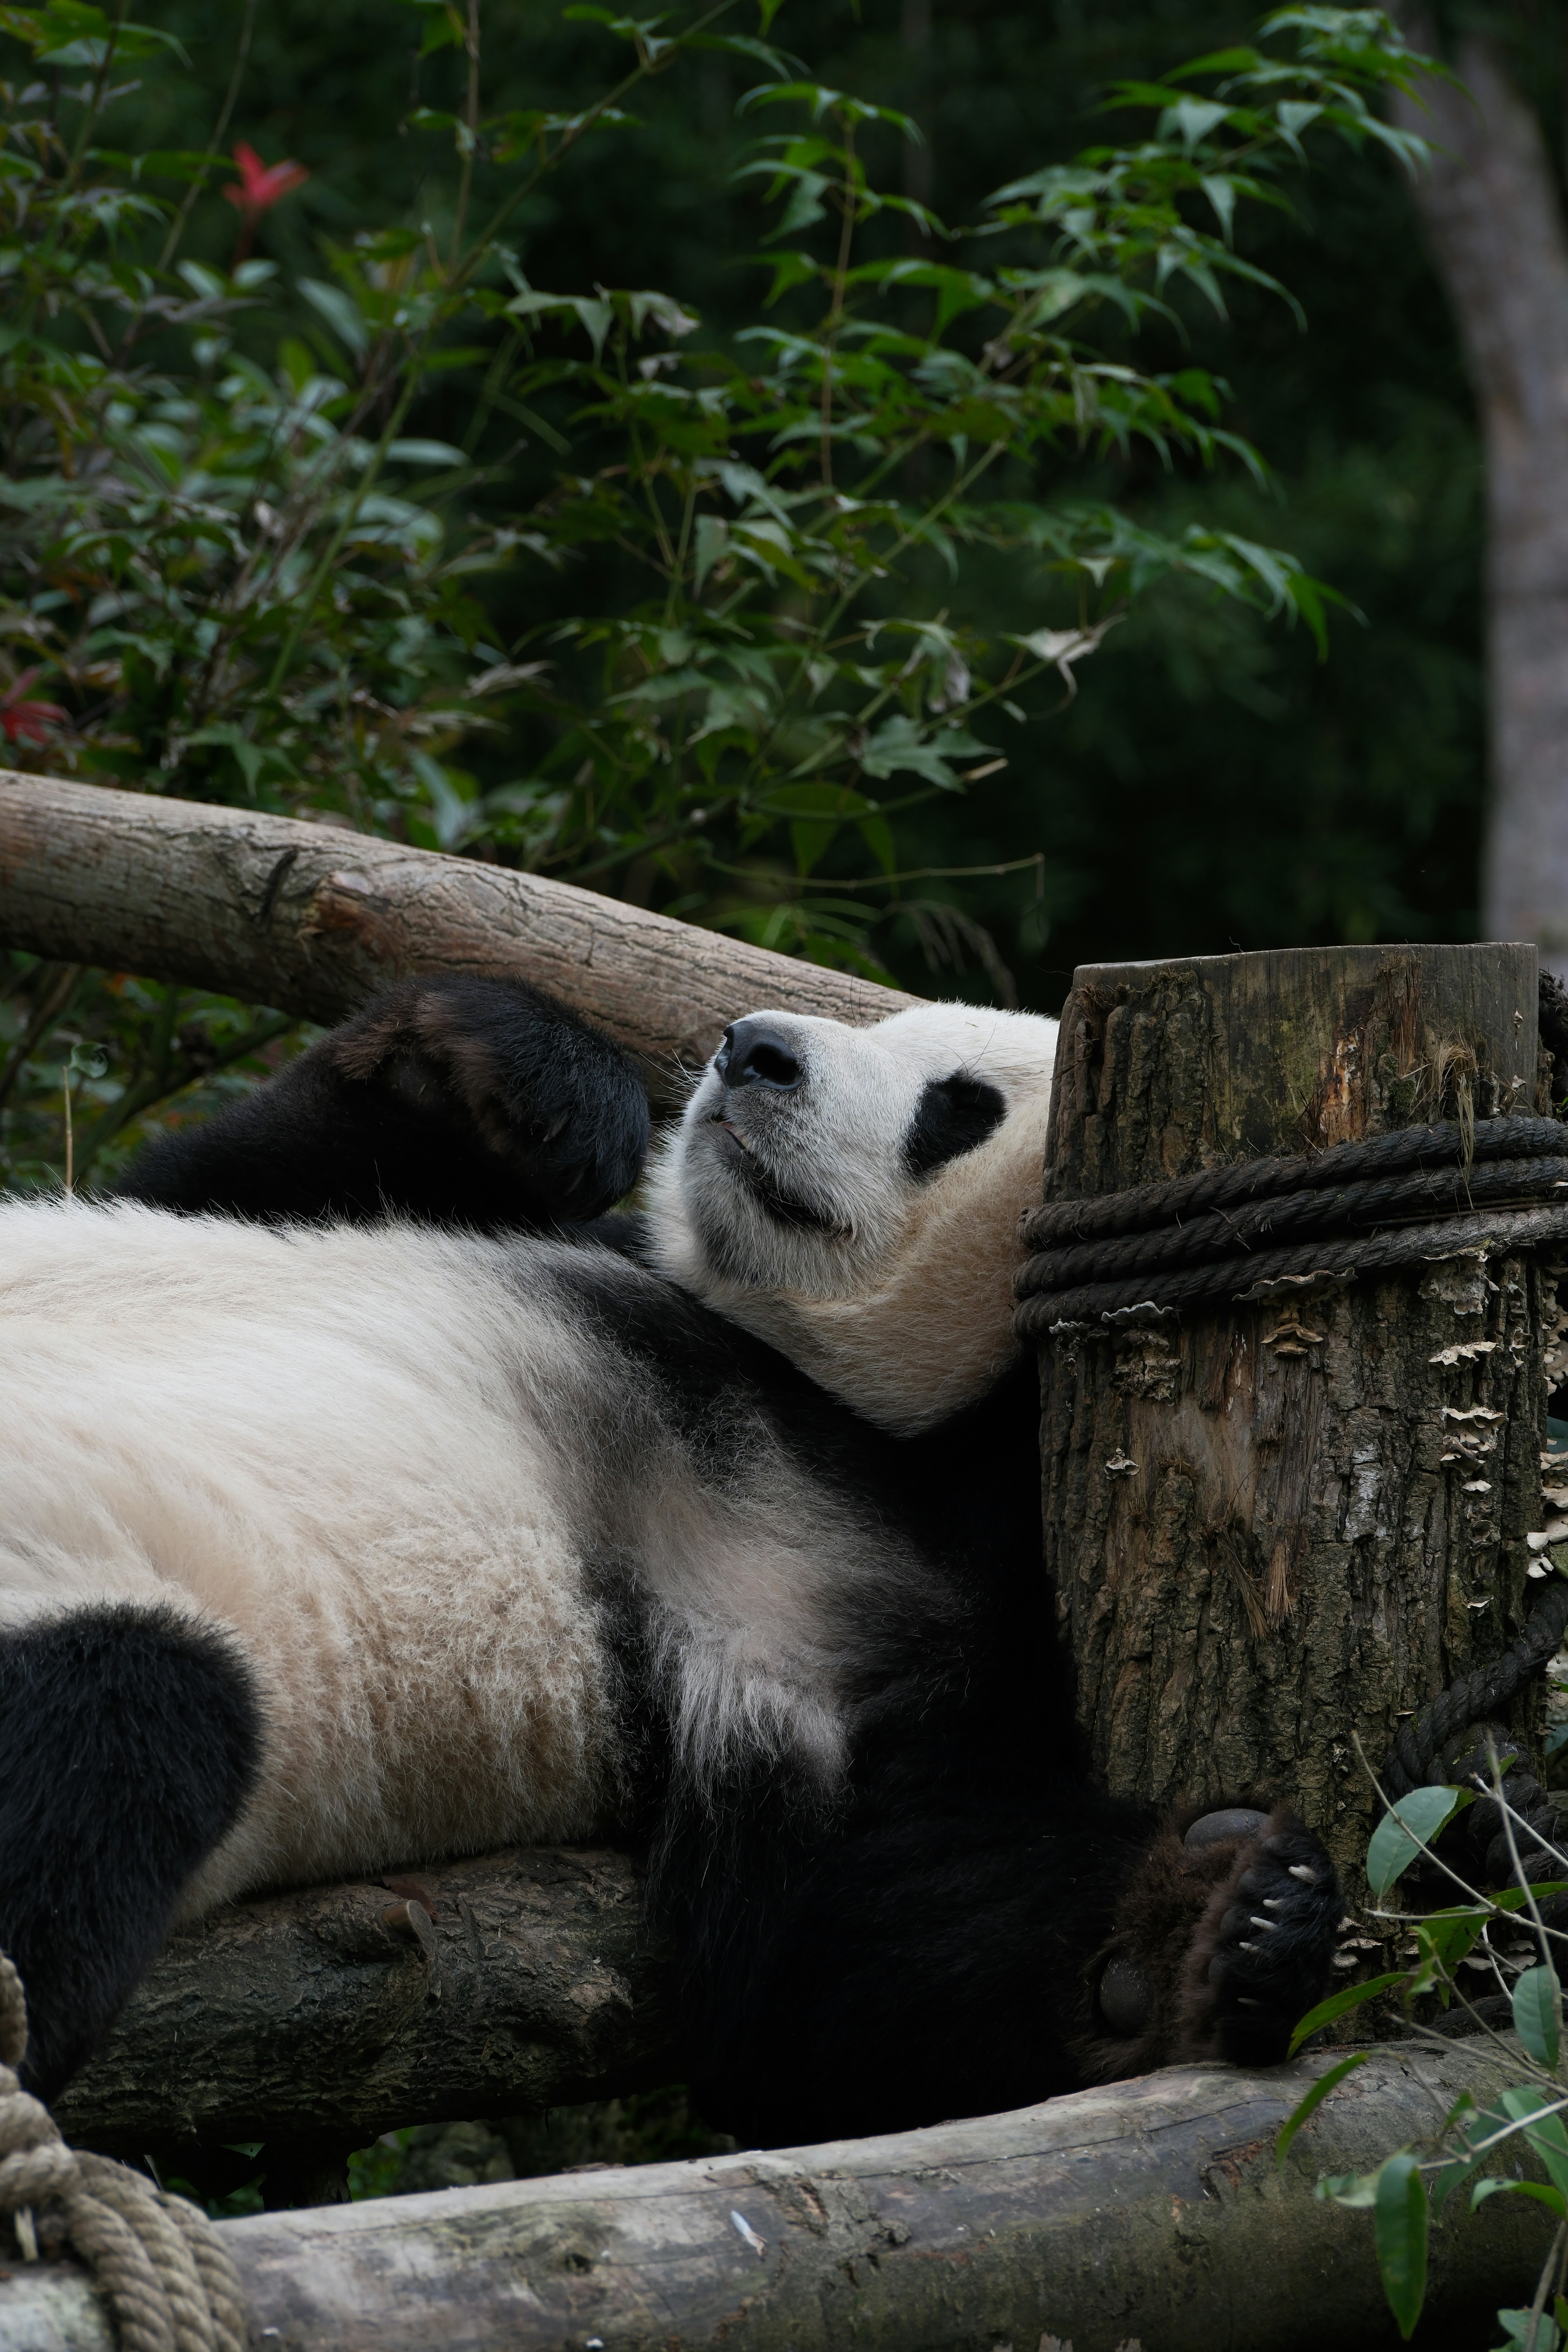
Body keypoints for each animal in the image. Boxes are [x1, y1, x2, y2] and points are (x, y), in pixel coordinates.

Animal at [0, 975, 1341, 2144]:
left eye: (959, 1104)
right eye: (883, 1026)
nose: (755, 1050)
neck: (829, 1401)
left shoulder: (909, 1595)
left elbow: (833, 1962)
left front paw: (1214, 1921)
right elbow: (210, 1184)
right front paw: (508, 1073)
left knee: (127, 1723)